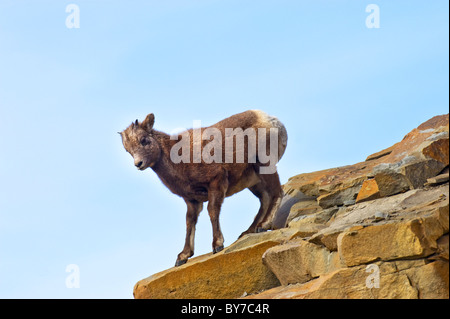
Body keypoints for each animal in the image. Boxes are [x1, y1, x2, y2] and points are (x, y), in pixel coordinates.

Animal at [119, 110, 288, 268]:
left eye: (144, 140)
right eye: (128, 150)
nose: (138, 164)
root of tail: (271, 120)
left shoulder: (216, 182)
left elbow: (212, 211)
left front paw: (217, 245)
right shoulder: (191, 200)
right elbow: (189, 222)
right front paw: (183, 256)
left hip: (264, 165)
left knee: (276, 192)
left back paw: (262, 226)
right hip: (254, 180)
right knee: (264, 198)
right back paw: (248, 231)